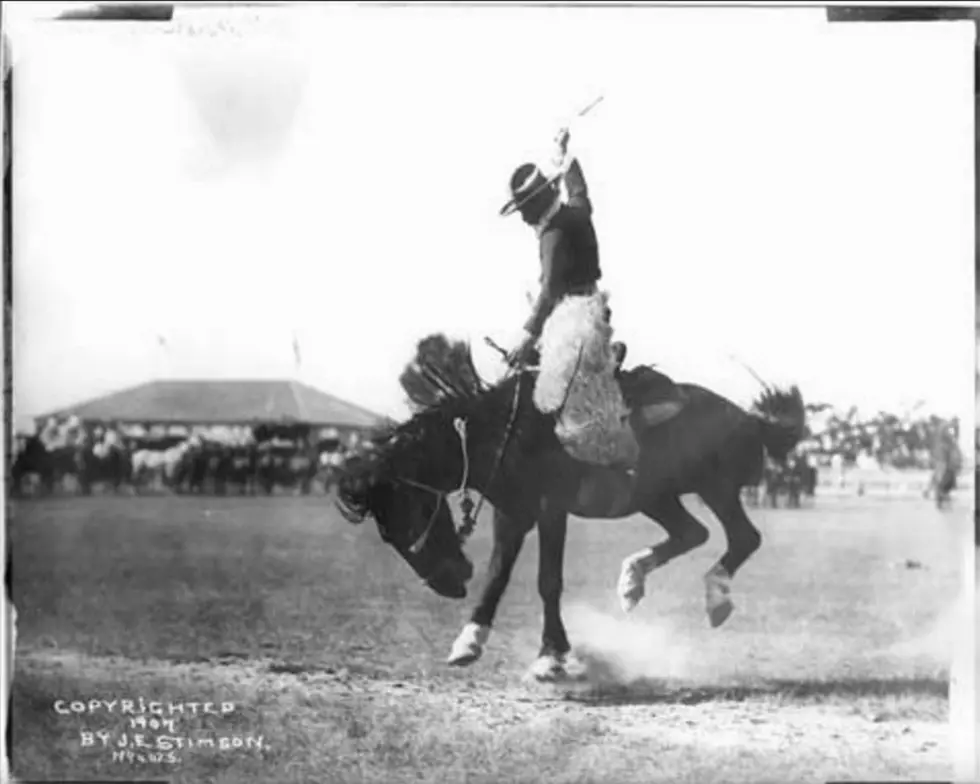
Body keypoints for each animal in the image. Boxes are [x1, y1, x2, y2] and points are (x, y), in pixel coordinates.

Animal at [334, 334, 804, 684]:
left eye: (409, 516)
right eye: (387, 533)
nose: (448, 583)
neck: (509, 432)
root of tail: (750, 417)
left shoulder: (550, 508)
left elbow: (548, 580)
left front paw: (551, 657)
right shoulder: (512, 512)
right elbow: (498, 574)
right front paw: (469, 640)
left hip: (716, 487)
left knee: (743, 537)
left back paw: (715, 598)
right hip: (655, 496)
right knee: (693, 533)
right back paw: (631, 582)